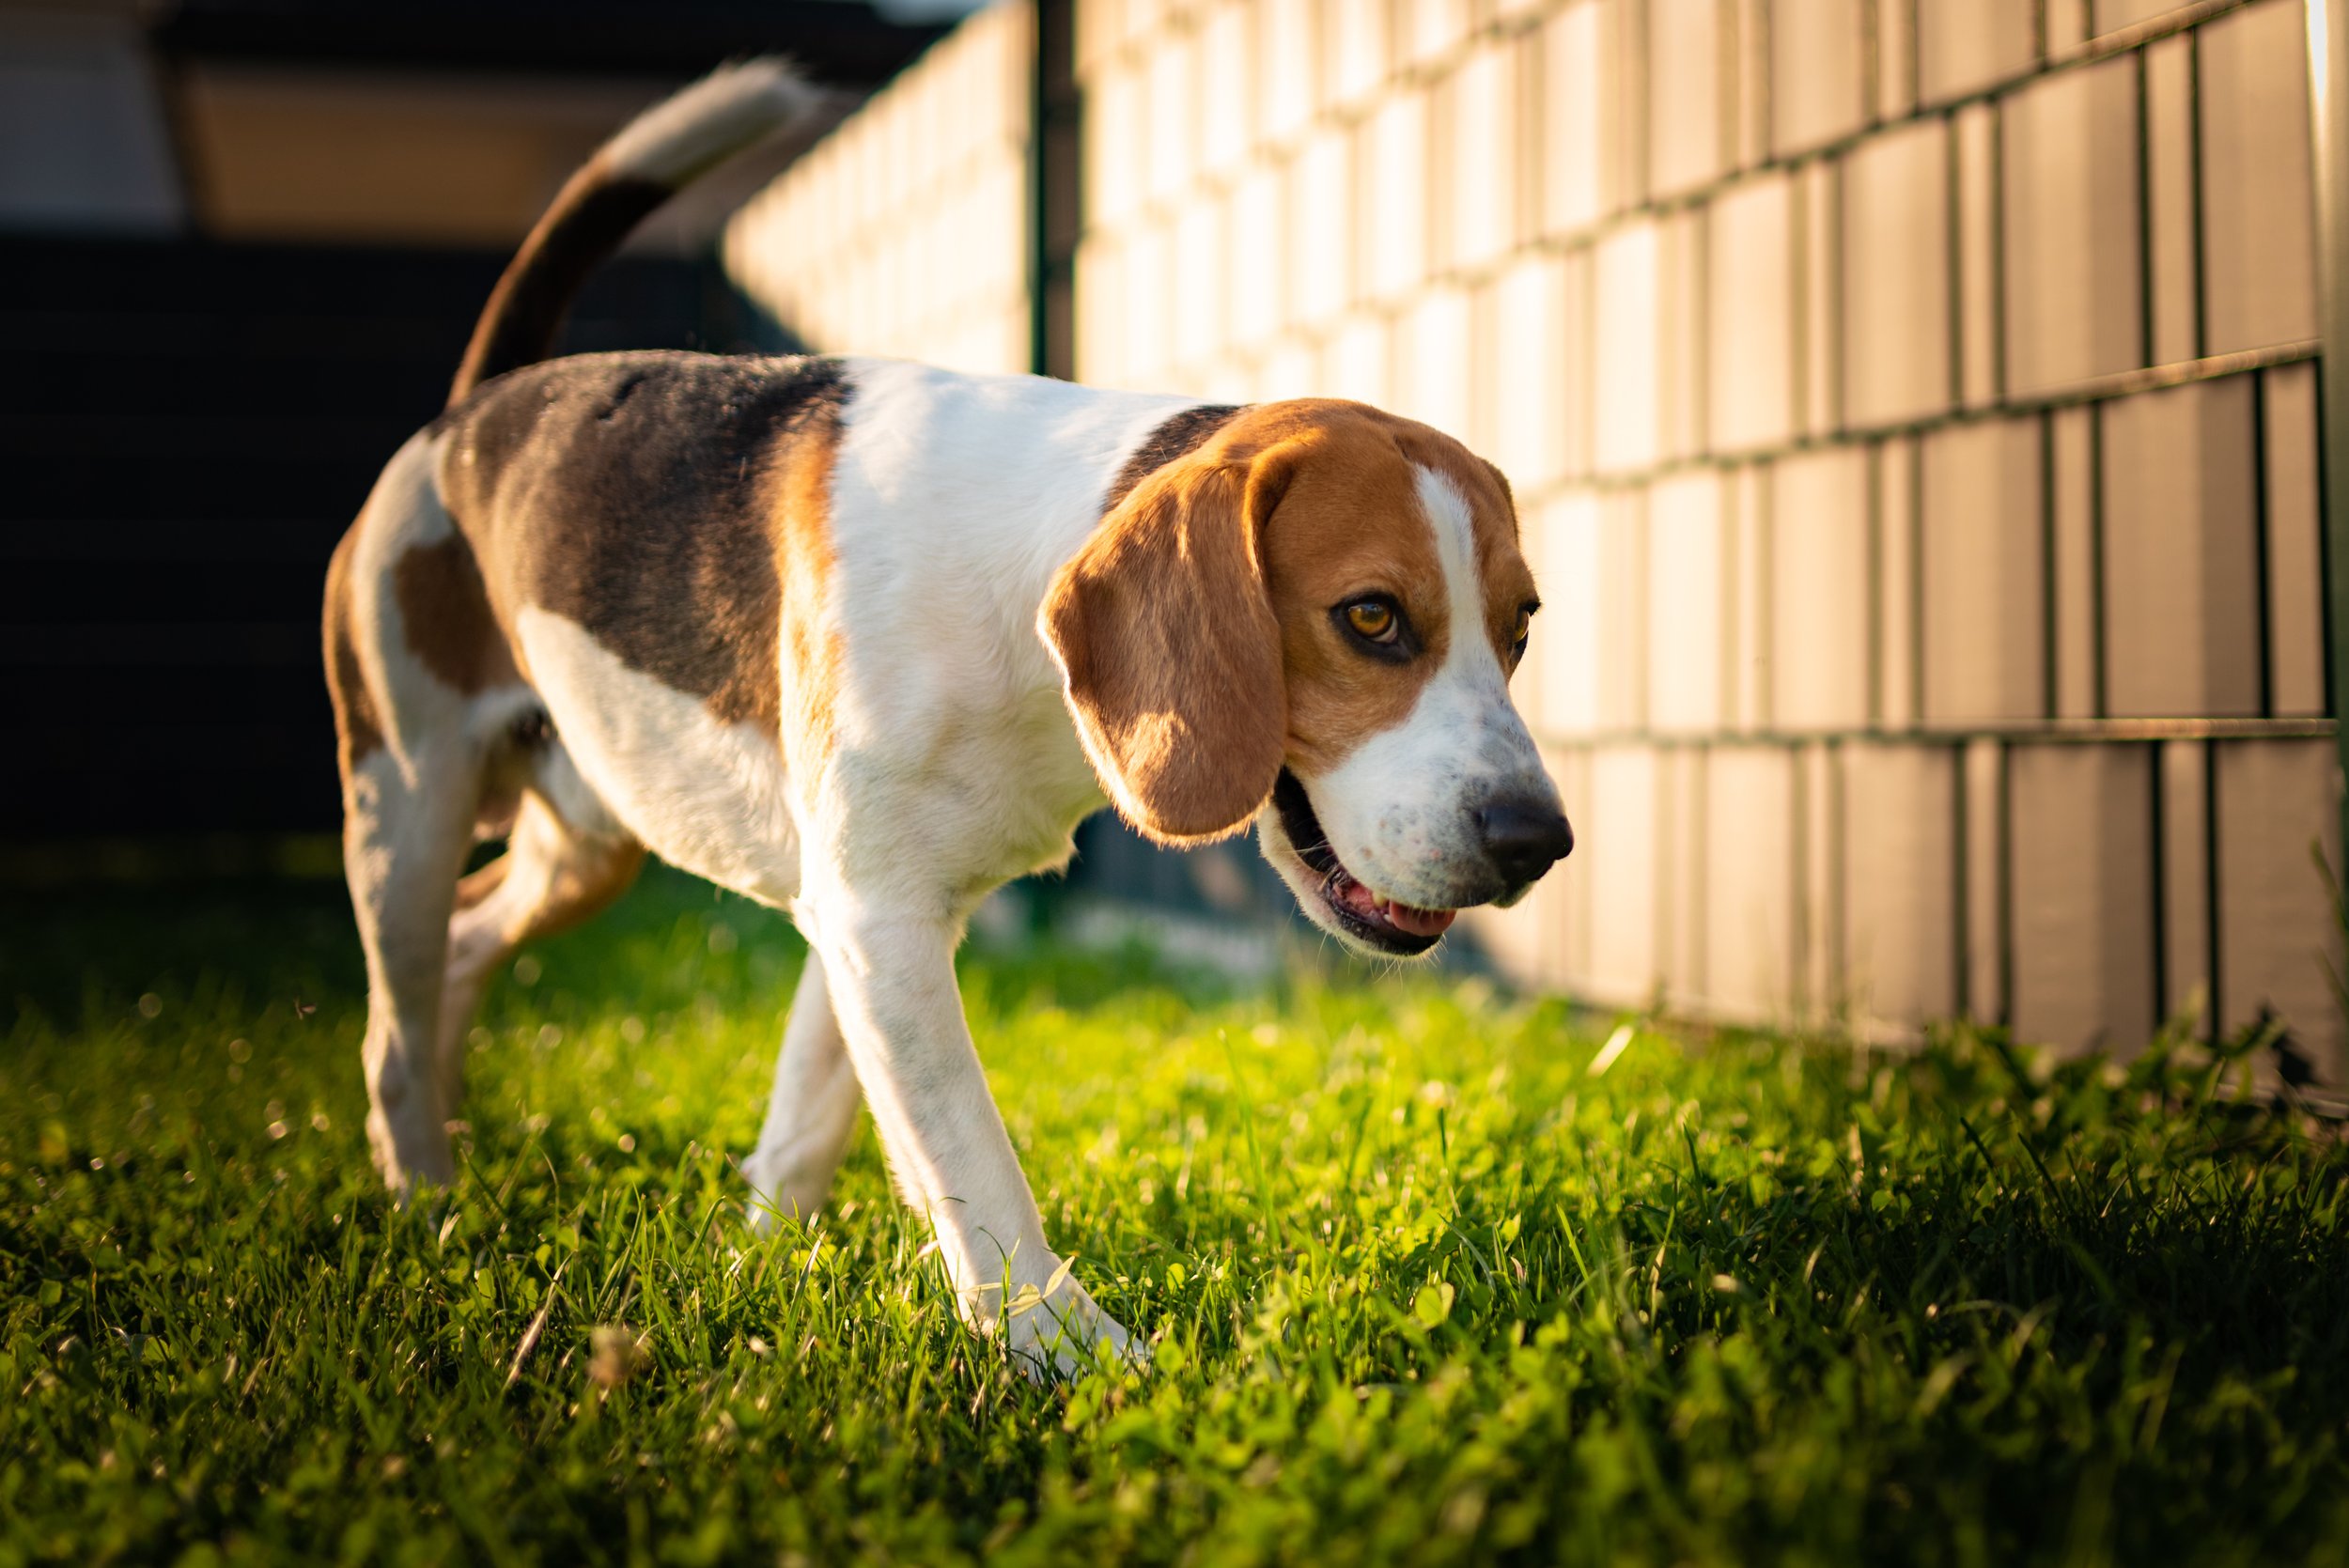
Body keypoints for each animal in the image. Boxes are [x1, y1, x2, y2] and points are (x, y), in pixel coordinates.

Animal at [331, 61, 1569, 1361]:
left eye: (1522, 626)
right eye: (1371, 616)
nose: (1537, 841)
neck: (1027, 604)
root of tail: (467, 414)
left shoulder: (860, 916)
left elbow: (817, 1122)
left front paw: (761, 1269)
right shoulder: (878, 916)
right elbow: (973, 1162)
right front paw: (1072, 1353)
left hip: (584, 840)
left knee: (466, 943)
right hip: (404, 803)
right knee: (392, 1021)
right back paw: (425, 1200)